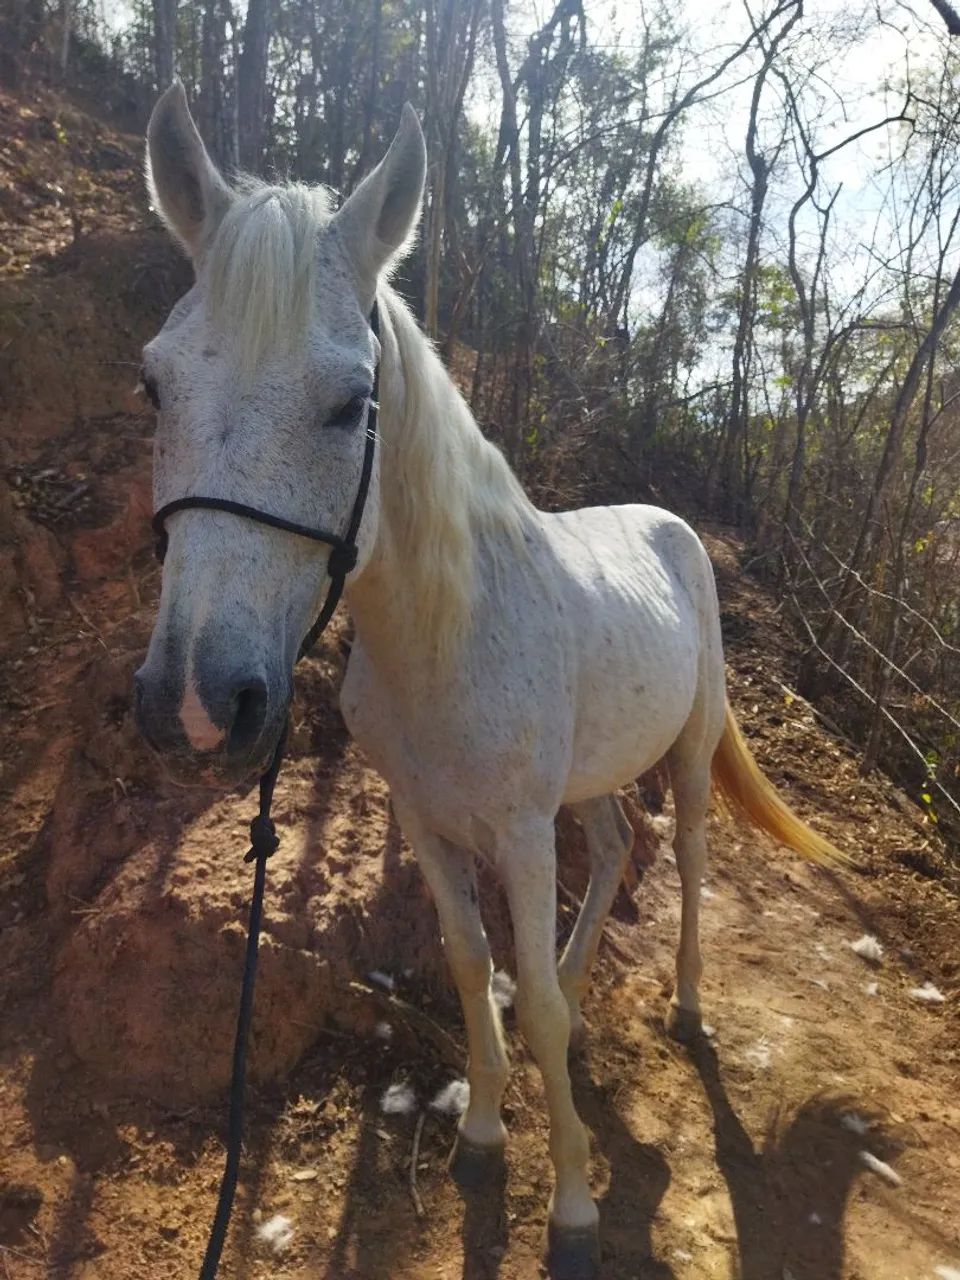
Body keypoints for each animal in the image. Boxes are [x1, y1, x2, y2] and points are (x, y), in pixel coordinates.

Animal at [134, 84, 846, 1279]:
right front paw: (479, 1129)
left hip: (688, 752)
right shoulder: (430, 822)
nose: (195, 700)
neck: (447, 634)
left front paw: (572, 1209)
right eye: (155, 381)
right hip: (588, 780)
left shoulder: (514, 830)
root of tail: (672, 526)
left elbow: (544, 1011)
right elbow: (474, 966)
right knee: (612, 845)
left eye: (351, 403)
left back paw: (687, 1007)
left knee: (689, 856)